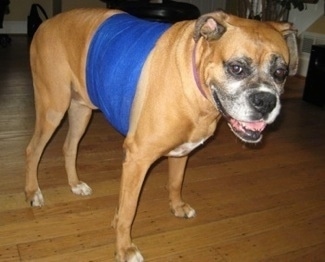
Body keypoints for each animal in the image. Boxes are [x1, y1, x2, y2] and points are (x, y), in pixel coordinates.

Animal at [26, 8, 298, 262]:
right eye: (237, 68)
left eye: (281, 73)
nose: (266, 101)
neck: (197, 85)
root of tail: (48, 23)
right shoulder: (136, 160)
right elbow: (128, 211)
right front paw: (124, 248)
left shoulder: (182, 151)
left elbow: (175, 182)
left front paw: (177, 207)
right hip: (53, 109)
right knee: (33, 150)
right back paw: (32, 192)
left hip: (81, 111)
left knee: (69, 147)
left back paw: (75, 185)